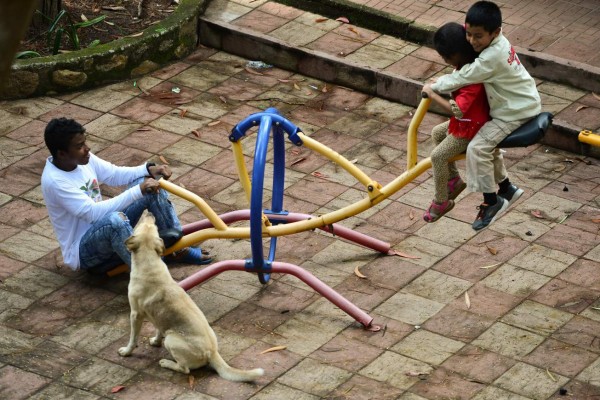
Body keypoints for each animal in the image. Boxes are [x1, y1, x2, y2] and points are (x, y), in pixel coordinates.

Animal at [118, 209, 264, 382]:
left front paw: (126, 351)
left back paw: (166, 363)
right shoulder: (158, 318)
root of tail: (212, 352)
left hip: (171, 340)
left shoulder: (135, 314)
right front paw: (155, 341)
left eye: (145, 225)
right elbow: (159, 329)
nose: (150, 212)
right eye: (154, 227)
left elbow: (133, 338)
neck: (149, 262)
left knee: (185, 369)